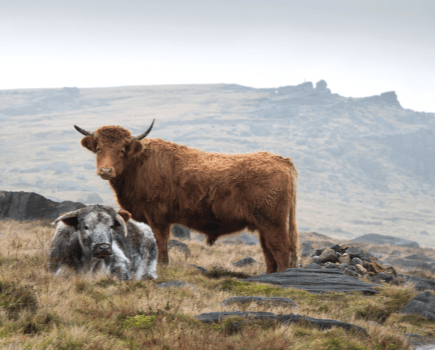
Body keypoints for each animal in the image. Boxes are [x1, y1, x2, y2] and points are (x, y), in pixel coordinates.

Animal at [75, 120, 300, 274]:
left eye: (122, 150)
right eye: (98, 148)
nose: (106, 170)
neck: (139, 164)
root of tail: (281, 160)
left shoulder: (157, 216)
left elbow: (160, 240)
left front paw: (162, 265)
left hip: (273, 223)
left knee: (281, 249)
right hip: (263, 225)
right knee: (269, 252)